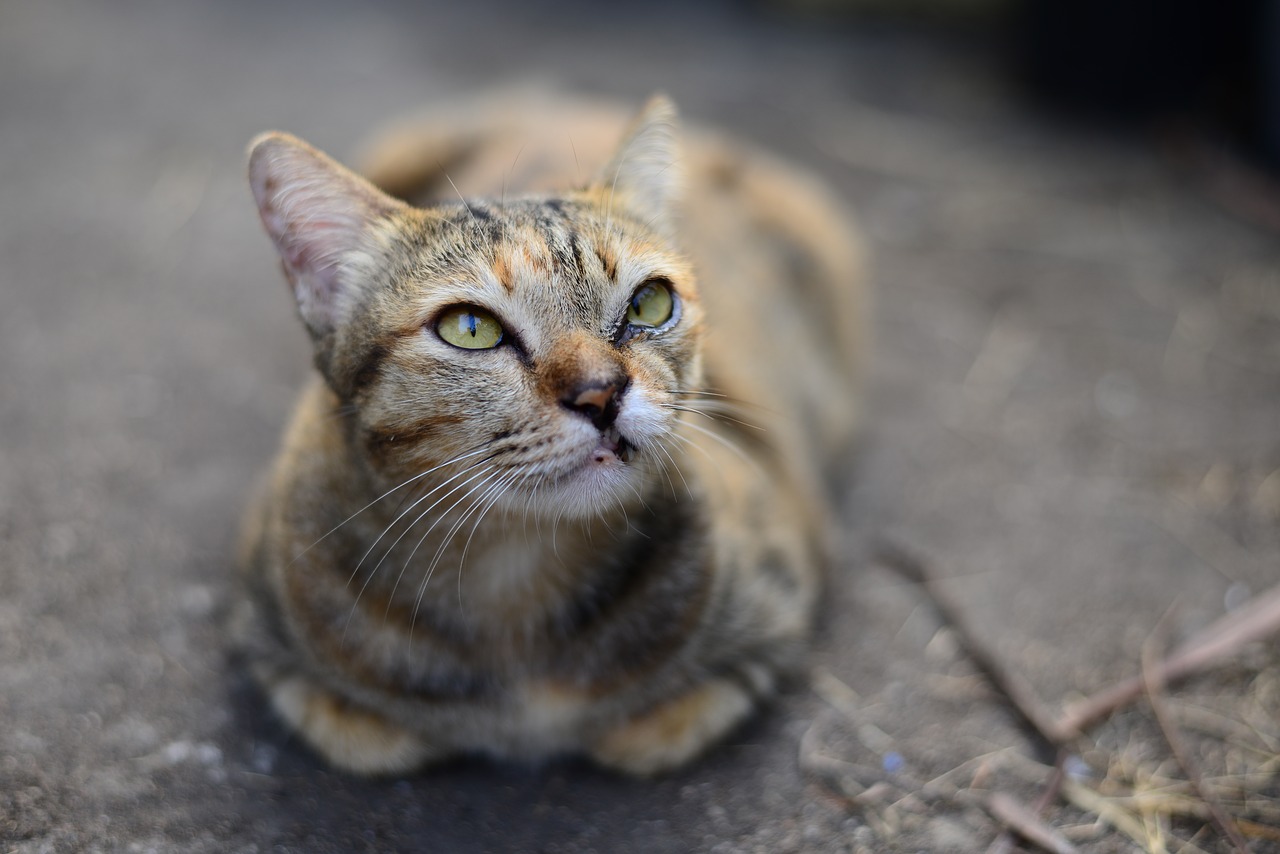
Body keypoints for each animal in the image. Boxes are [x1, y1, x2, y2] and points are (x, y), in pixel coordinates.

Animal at [234, 92, 865, 773]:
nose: (602, 393)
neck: (513, 579)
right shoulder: (266, 627)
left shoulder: (779, 608)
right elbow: (366, 736)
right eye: (470, 328)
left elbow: (651, 730)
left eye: (649, 303)